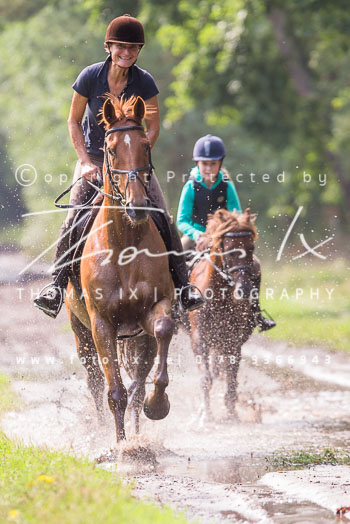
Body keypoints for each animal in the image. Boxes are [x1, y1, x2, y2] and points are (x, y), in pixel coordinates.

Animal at [65, 95, 174, 442]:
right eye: (111, 149)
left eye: (145, 146)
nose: (137, 206)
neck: (125, 242)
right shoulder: (101, 324)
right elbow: (115, 392)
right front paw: (121, 446)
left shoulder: (155, 308)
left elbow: (163, 331)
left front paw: (157, 404)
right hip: (81, 332)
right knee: (95, 382)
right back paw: (106, 431)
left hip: (139, 338)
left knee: (137, 384)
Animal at [187, 208, 258, 422]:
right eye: (229, 249)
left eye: (251, 248)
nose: (244, 289)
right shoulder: (199, 337)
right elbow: (206, 378)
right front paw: (206, 414)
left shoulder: (232, 340)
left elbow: (231, 377)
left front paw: (231, 412)